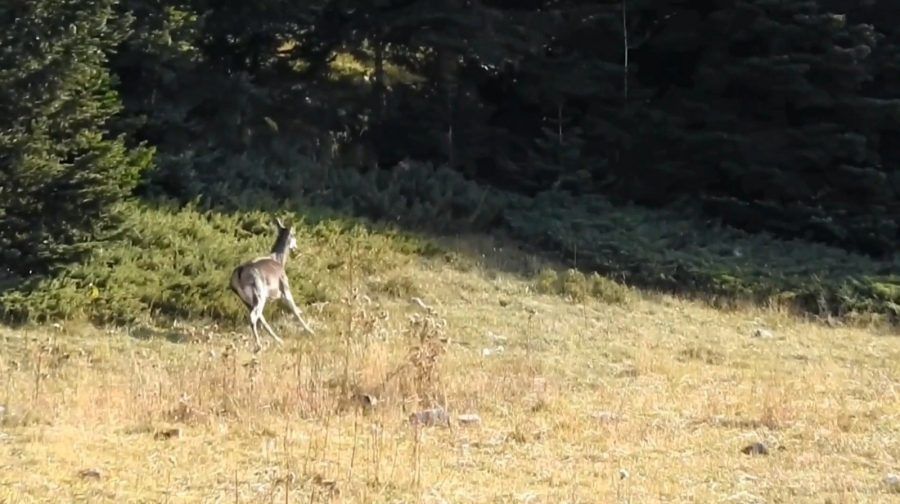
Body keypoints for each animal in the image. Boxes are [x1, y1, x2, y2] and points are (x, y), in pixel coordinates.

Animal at [230, 217, 314, 350]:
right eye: (294, 234)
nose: (295, 247)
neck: (278, 260)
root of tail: (239, 272)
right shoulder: (285, 289)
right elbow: (295, 310)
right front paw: (310, 331)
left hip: (247, 301)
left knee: (260, 317)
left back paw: (278, 340)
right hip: (259, 295)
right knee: (254, 316)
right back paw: (259, 345)